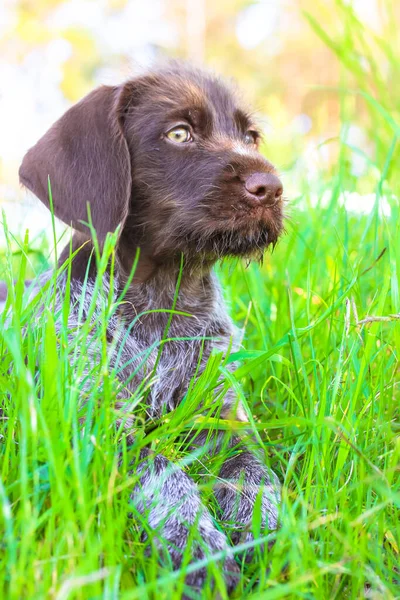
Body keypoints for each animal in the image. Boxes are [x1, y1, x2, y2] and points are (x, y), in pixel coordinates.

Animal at [18, 62, 284, 596]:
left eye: (250, 137)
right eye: (179, 134)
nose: (271, 186)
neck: (164, 301)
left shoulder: (221, 416)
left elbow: (253, 474)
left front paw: (267, 531)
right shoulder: (100, 421)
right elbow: (161, 476)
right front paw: (198, 551)